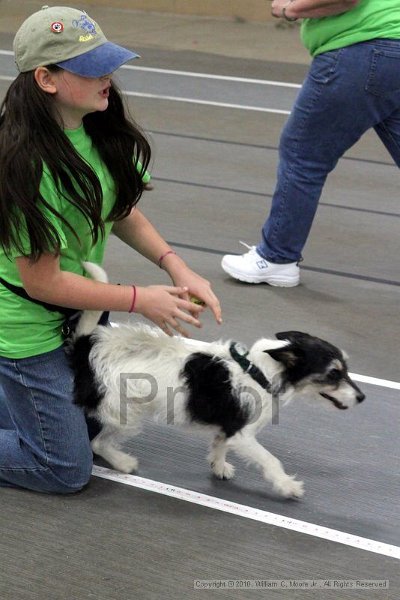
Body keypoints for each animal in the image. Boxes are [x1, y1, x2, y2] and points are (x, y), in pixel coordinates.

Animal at [69, 264, 366, 502]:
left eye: (346, 369)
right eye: (333, 373)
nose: (362, 398)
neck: (259, 371)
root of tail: (88, 346)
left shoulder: (229, 427)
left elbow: (220, 444)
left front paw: (219, 466)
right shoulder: (243, 434)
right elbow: (271, 459)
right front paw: (287, 486)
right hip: (125, 415)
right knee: (98, 444)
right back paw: (123, 462)